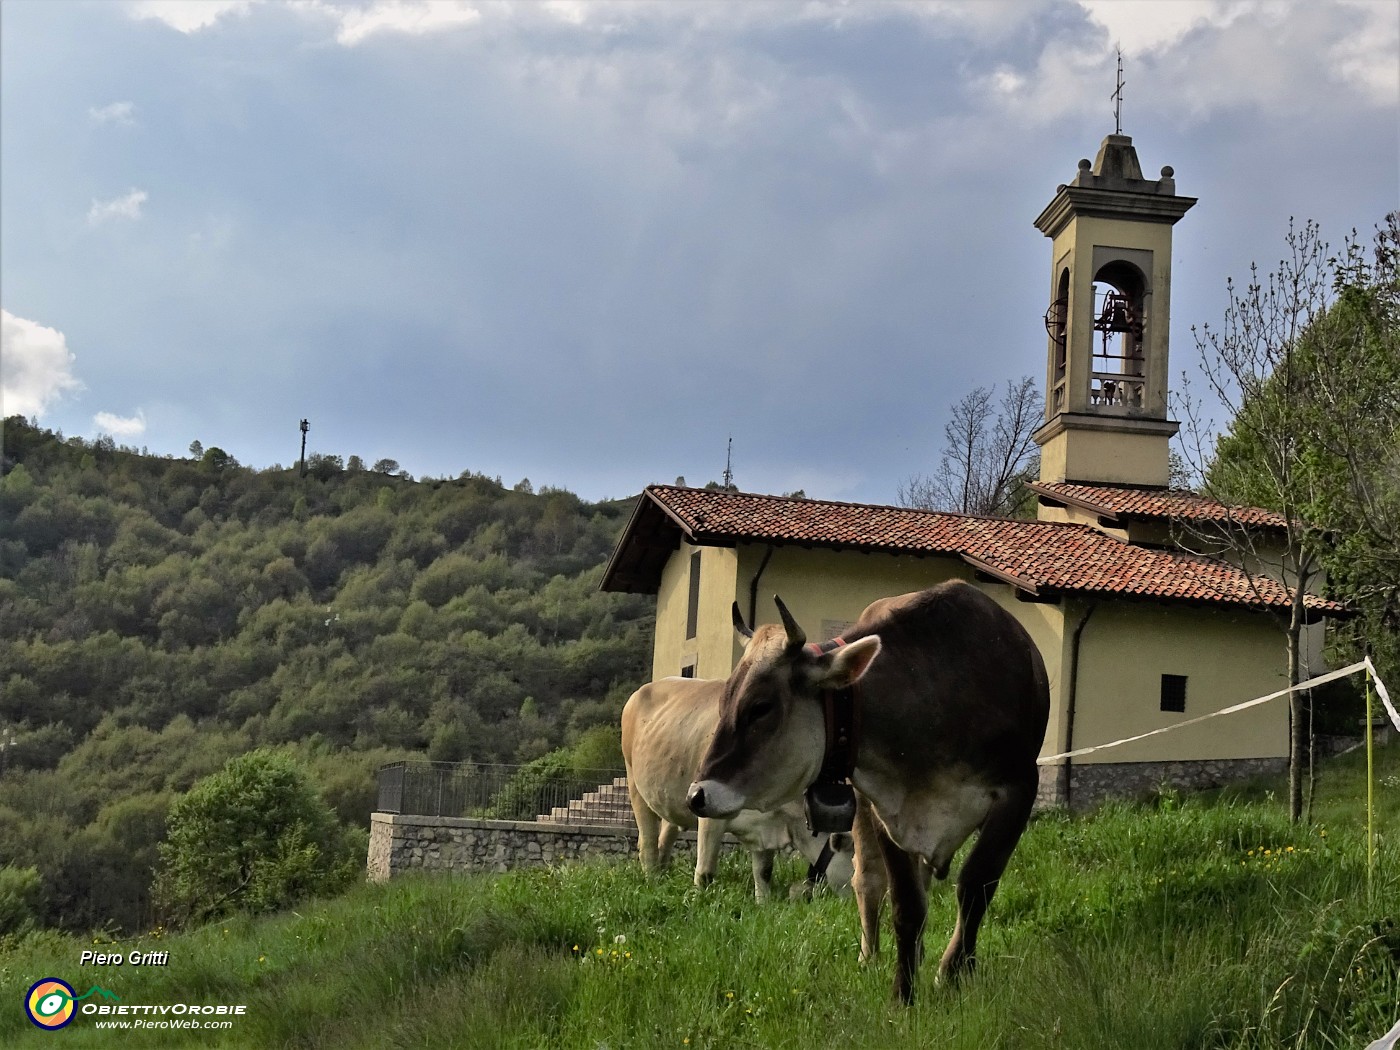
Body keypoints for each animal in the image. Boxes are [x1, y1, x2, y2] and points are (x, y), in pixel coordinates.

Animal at [688, 585, 1052, 1002]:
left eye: (760, 707)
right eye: (723, 702)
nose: (697, 795)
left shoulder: (1018, 792)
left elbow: (976, 885)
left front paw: (954, 971)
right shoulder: (887, 808)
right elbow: (906, 903)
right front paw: (903, 994)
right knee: (869, 880)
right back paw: (871, 956)